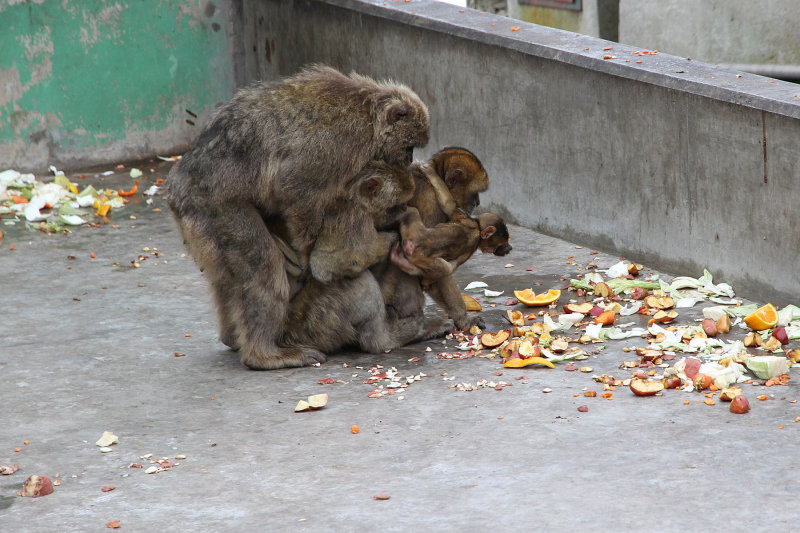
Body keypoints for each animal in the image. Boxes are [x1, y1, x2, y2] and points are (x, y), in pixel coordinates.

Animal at [167, 64, 432, 368]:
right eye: (408, 147)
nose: (409, 160)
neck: (368, 111)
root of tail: (176, 189)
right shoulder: (340, 142)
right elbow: (294, 187)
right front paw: (308, 257)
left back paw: (233, 338)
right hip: (214, 208)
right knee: (264, 265)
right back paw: (263, 355)